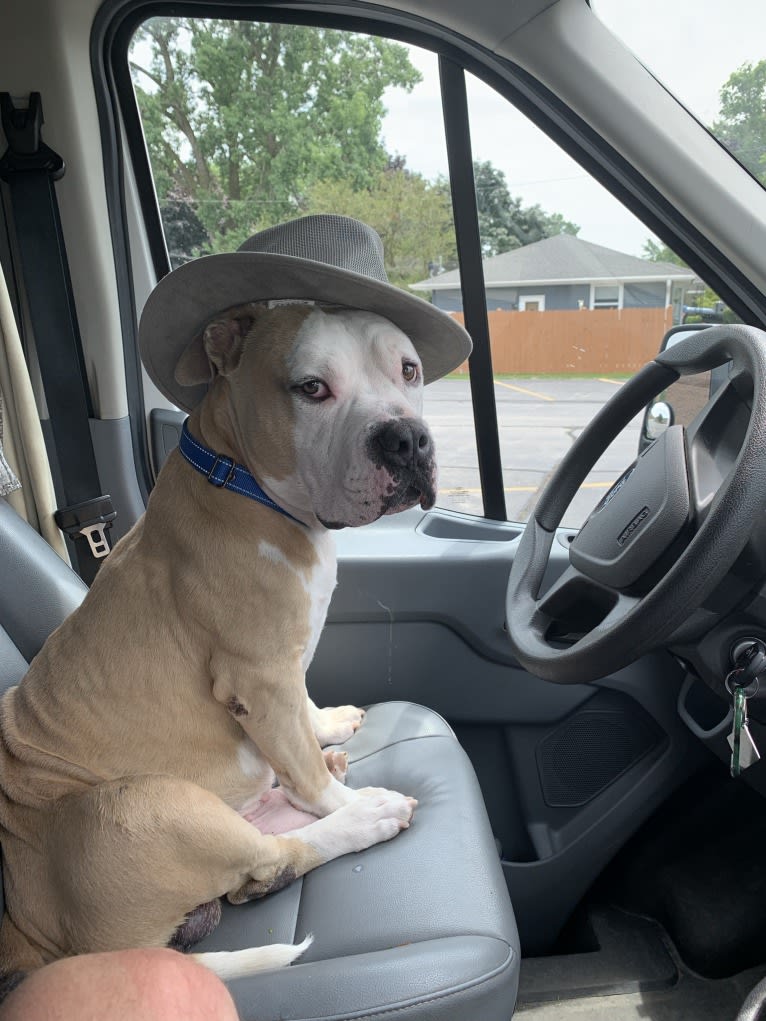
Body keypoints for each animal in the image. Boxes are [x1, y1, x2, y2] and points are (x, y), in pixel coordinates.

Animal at [0, 213, 473, 980]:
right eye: (311, 387)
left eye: (407, 369)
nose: (406, 438)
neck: (242, 478)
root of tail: (56, 947)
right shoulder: (256, 675)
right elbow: (306, 775)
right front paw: (338, 790)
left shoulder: (284, 667)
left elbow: (301, 718)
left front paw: (325, 726)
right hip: (148, 806)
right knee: (279, 855)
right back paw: (365, 813)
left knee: (265, 852)